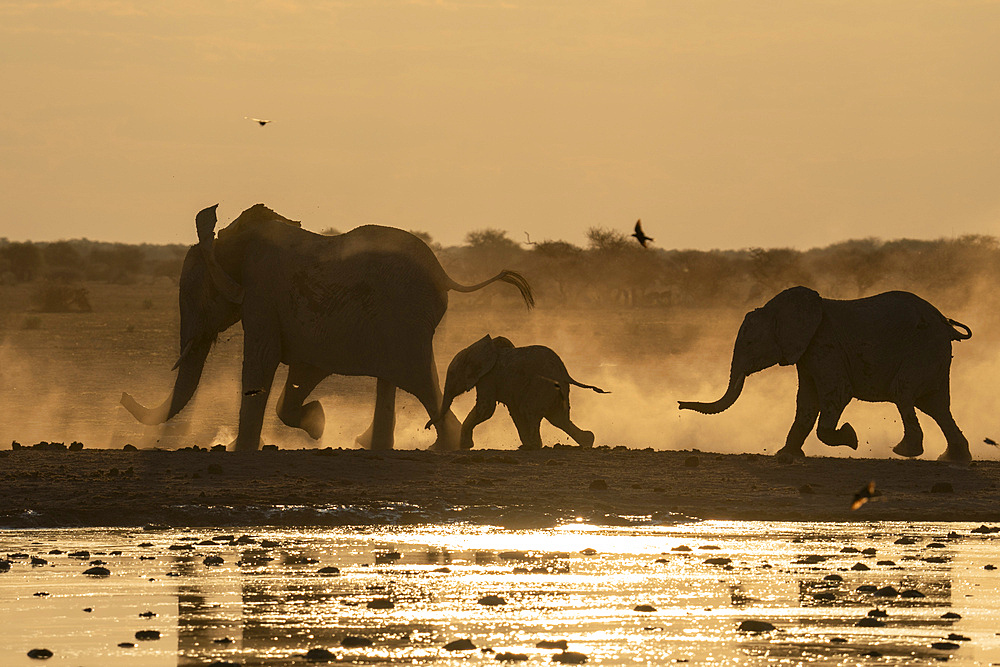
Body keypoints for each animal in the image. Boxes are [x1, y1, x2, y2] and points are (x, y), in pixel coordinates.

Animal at [122, 204, 536, 452]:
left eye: (194, 294)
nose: (124, 397)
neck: (231, 240)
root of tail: (444, 273)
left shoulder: (262, 295)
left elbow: (263, 360)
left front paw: (248, 448)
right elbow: (304, 370)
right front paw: (318, 424)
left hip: (405, 321)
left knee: (419, 380)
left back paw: (445, 446)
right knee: (399, 379)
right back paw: (374, 444)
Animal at [426, 336, 604, 452]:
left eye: (452, 374)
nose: (427, 427)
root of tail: (565, 373)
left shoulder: (488, 377)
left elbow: (485, 409)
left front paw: (464, 447)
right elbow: (514, 412)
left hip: (542, 386)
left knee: (531, 410)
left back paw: (531, 447)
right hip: (556, 391)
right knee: (558, 418)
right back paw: (588, 441)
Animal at [676, 288, 972, 464]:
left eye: (749, 344)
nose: (678, 404)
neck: (779, 308)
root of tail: (946, 323)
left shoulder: (824, 345)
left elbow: (836, 393)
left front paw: (851, 438)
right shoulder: (806, 352)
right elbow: (806, 401)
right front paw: (786, 455)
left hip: (923, 349)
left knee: (904, 393)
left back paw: (904, 451)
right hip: (932, 354)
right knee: (936, 406)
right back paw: (952, 458)